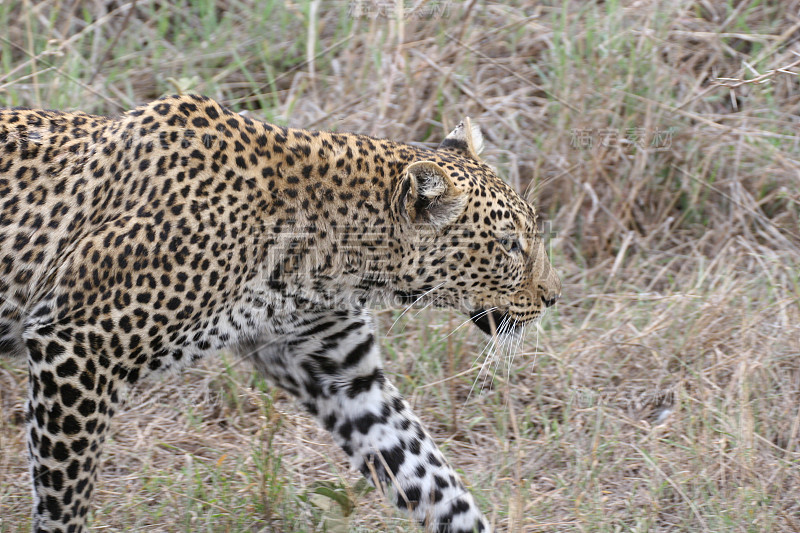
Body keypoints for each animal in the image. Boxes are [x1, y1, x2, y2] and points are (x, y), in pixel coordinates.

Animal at [0, 95, 560, 532]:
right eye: (509, 244)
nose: (554, 296)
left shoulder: (345, 373)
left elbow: (433, 479)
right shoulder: (77, 346)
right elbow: (64, 497)